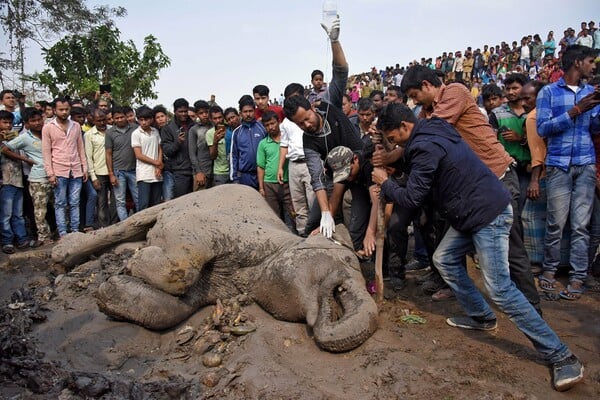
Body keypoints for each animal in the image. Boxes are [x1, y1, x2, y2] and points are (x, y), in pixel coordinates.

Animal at [54, 185, 378, 354]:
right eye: (349, 261)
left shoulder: (218, 286)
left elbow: (175, 309)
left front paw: (112, 290)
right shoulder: (218, 228)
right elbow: (181, 270)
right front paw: (134, 262)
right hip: (182, 200)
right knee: (133, 222)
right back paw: (62, 254)